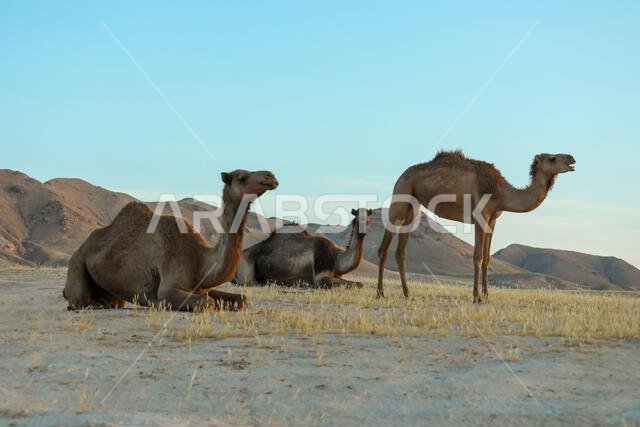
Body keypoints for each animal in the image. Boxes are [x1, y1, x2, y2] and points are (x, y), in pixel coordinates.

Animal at [63, 169, 278, 311]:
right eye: (242, 177)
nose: (271, 176)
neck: (200, 259)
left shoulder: (202, 286)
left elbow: (242, 299)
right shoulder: (167, 288)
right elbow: (206, 303)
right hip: (77, 265)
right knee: (77, 300)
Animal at [233, 208, 372, 288]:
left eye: (368, 220)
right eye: (357, 219)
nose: (362, 233)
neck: (337, 258)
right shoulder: (320, 276)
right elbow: (359, 284)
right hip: (246, 271)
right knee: (249, 282)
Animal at [377, 150, 575, 302]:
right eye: (552, 158)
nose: (571, 158)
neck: (502, 192)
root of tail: (401, 175)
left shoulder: (493, 219)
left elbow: (487, 259)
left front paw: (487, 295)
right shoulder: (480, 216)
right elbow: (478, 256)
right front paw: (477, 296)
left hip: (414, 206)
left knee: (400, 252)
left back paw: (407, 293)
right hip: (401, 195)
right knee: (384, 247)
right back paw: (380, 293)